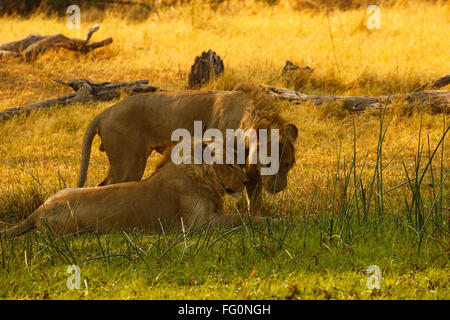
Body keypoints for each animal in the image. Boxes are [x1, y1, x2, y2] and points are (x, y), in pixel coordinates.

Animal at [1, 144, 258, 236]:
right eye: (230, 164)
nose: (246, 182)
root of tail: (38, 210)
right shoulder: (198, 225)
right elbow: (241, 219)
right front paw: (266, 222)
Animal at [77, 82, 298, 215]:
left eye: (288, 165)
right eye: (268, 164)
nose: (278, 188)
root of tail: (105, 112)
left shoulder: (250, 168)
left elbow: (254, 195)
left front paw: (255, 217)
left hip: (119, 164)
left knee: (102, 185)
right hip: (129, 164)